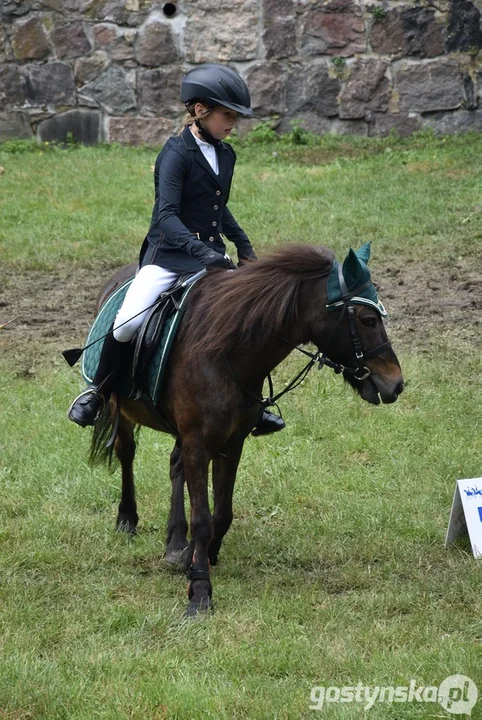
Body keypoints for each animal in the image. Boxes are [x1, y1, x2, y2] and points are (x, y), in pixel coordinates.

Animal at [87, 245, 402, 616]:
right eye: (367, 320)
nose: (396, 384)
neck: (226, 351)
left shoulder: (230, 443)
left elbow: (221, 513)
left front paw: (198, 558)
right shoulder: (199, 443)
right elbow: (204, 518)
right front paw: (199, 593)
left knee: (175, 465)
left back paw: (176, 542)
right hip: (120, 408)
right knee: (126, 454)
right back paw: (127, 519)